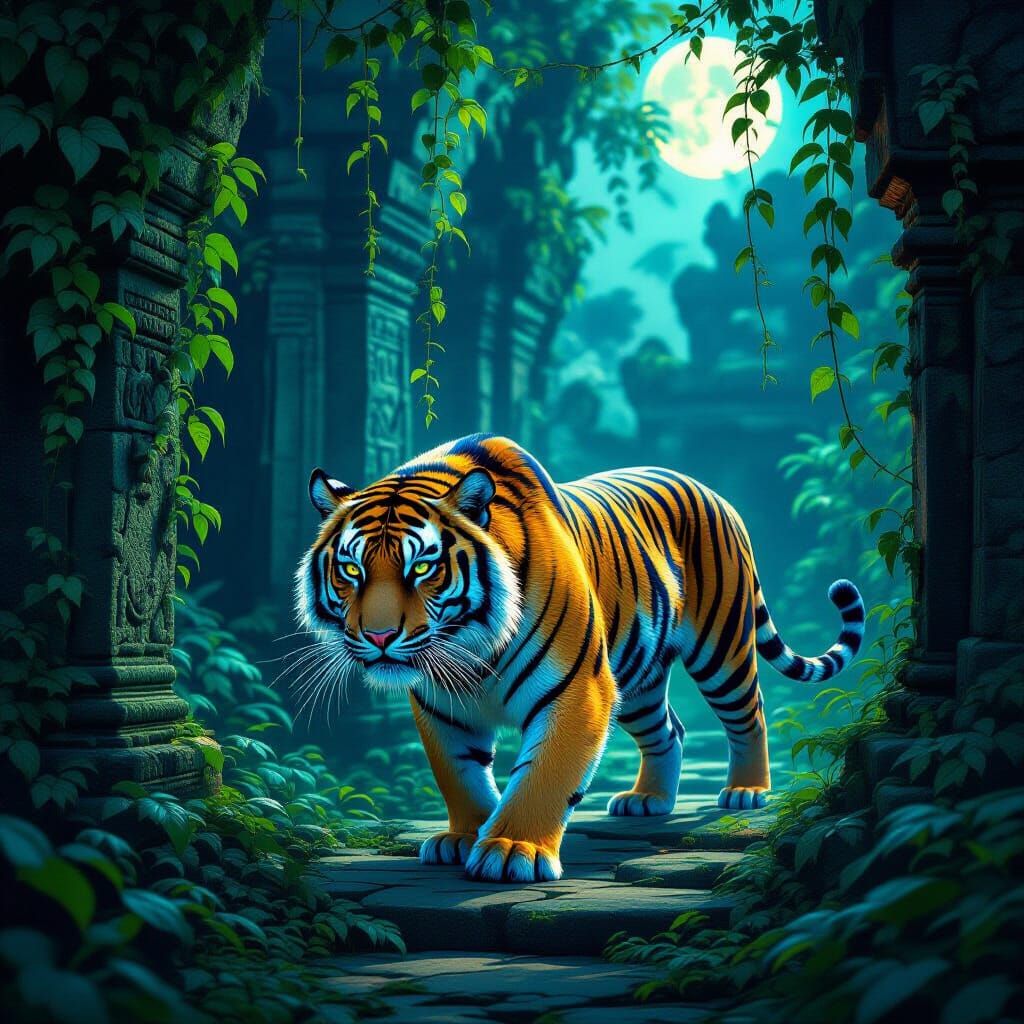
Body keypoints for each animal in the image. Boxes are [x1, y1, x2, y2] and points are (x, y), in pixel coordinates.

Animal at [296, 433, 864, 883]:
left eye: (422, 567)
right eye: (351, 569)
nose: (379, 635)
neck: (470, 646)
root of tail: (712, 490)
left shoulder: (577, 689)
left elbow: (543, 775)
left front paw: (512, 850)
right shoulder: (441, 706)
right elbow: (459, 775)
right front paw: (463, 836)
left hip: (720, 647)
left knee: (750, 714)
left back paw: (746, 791)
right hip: (637, 678)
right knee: (670, 730)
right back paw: (647, 800)